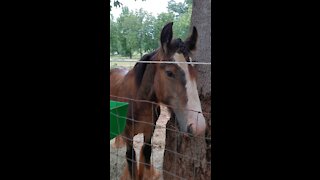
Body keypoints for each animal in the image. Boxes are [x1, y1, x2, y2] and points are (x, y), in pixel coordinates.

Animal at [110, 22, 206, 180]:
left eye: (195, 72)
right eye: (169, 72)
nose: (199, 126)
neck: (138, 102)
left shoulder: (150, 131)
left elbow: (146, 152)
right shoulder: (128, 135)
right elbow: (131, 157)